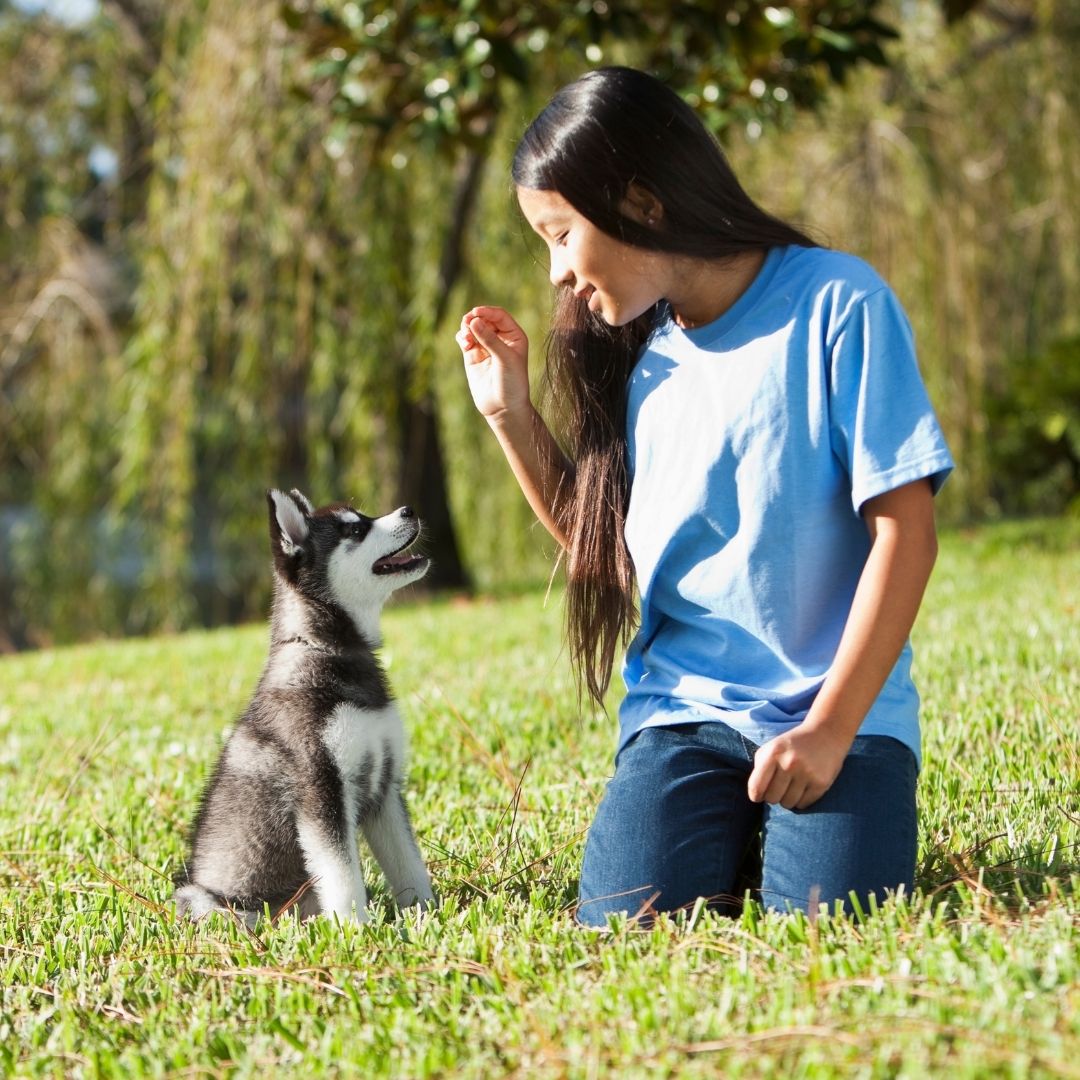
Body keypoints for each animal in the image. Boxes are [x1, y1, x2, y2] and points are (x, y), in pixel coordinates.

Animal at [172, 494, 434, 924]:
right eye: (355, 530)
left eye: (362, 516)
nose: (409, 510)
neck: (327, 651)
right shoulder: (320, 790)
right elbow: (343, 876)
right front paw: (357, 929)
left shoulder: (385, 787)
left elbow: (409, 864)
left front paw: (426, 912)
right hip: (210, 900)